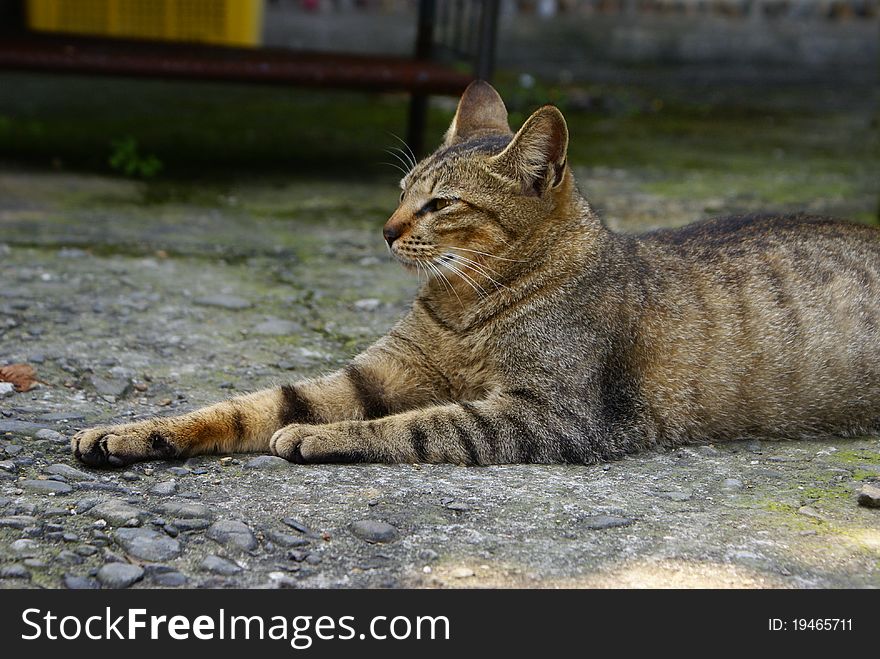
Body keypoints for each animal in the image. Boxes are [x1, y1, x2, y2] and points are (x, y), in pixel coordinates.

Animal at [72, 81, 880, 470]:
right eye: (402, 189)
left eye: (440, 203)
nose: (387, 228)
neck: (465, 306)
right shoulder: (377, 373)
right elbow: (252, 404)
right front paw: (134, 432)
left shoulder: (550, 415)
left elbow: (419, 425)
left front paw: (319, 437)